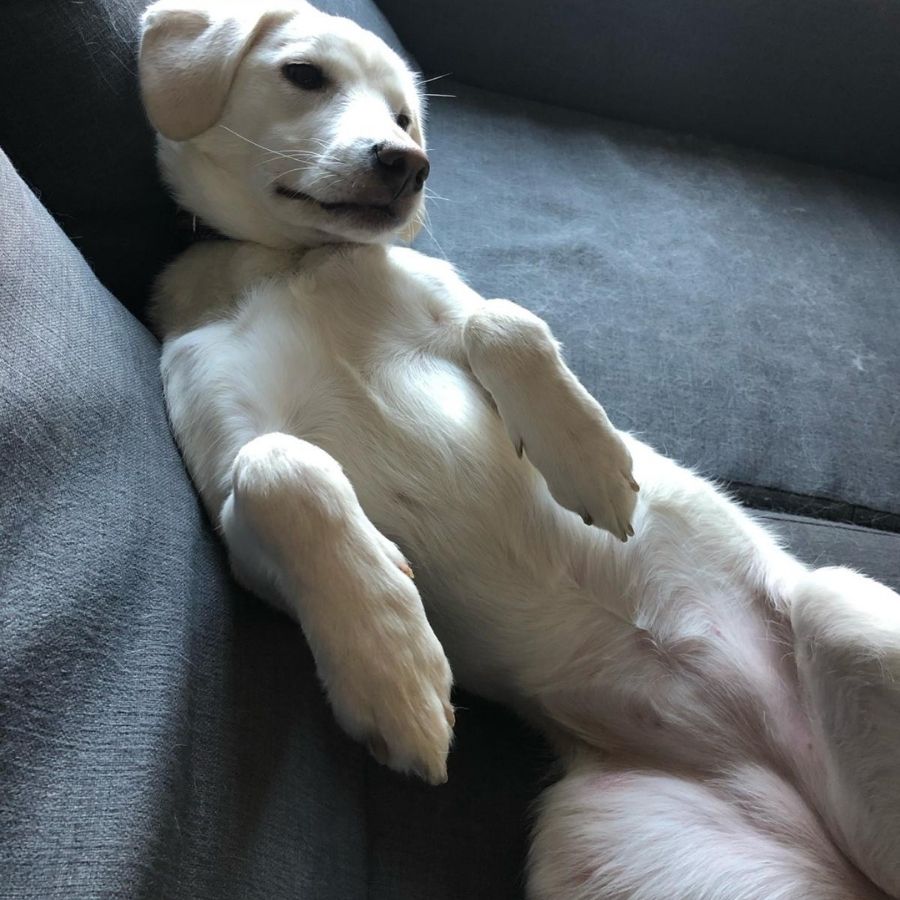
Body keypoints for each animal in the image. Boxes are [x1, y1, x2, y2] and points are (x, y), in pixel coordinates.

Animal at [139, 3, 900, 896]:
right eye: (303, 75)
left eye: (405, 116)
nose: (408, 165)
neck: (289, 262)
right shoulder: (231, 490)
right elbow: (281, 465)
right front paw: (393, 670)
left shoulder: (447, 302)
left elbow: (504, 317)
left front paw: (589, 460)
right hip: (615, 835)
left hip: (845, 617)